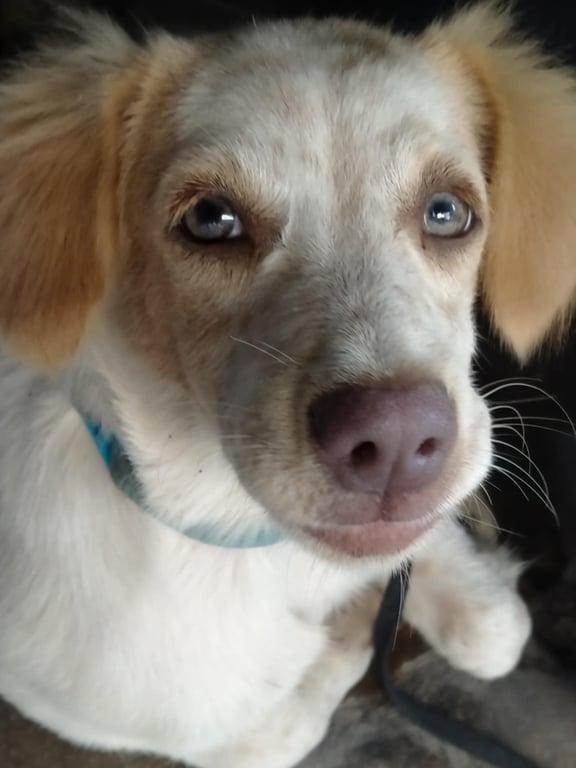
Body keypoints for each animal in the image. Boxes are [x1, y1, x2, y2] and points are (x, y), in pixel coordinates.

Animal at [3, 3, 575, 766]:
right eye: (210, 219)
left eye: (446, 211)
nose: (397, 440)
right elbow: (292, 714)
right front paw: (350, 629)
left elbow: (496, 631)